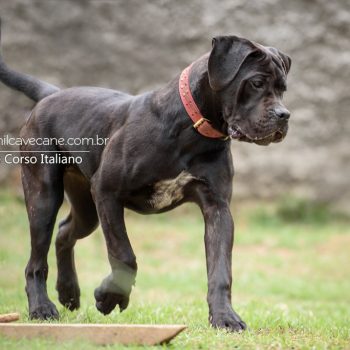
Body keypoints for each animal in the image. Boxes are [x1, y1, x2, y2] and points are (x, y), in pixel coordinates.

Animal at [0, 19, 290, 330]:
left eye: (283, 89)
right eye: (256, 83)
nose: (284, 115)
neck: (192, 130)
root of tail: (52, 94)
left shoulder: (217, 208)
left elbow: (220, 269)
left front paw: (225, 317)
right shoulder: (107, 192)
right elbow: (124, 255)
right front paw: (109, 296)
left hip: (86, 207)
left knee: (65, 232)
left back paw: (68, 292)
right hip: (44, 196)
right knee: (36, 261)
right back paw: (42, 308)